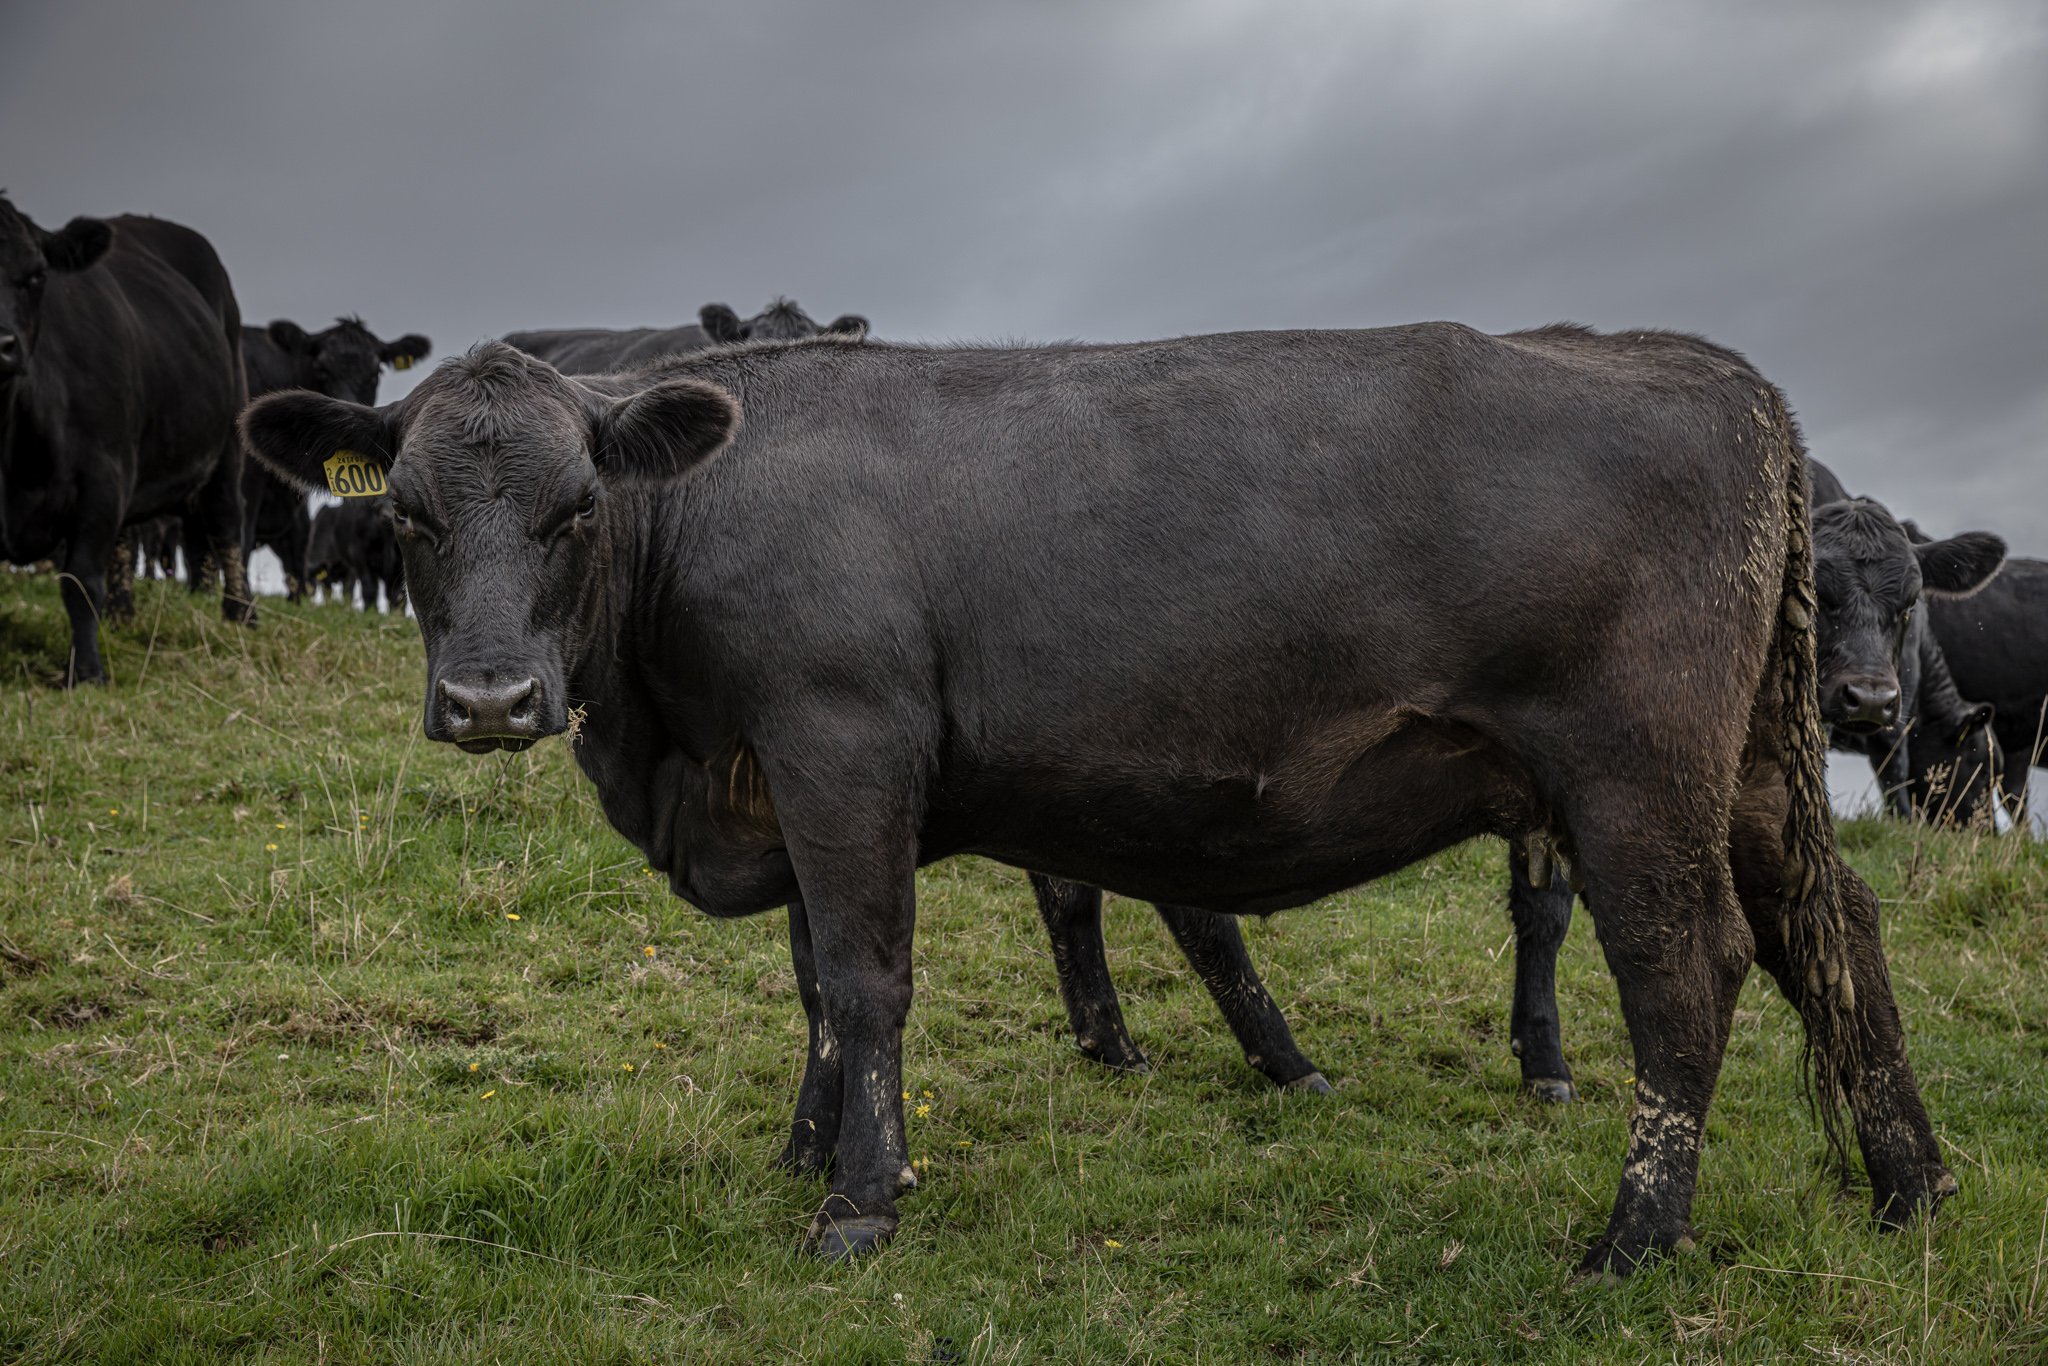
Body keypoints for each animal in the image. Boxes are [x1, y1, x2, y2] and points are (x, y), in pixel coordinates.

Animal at [0, 197, 252, 683]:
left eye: (37, 275)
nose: (0, 345)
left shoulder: (100, 478)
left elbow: (80, 580)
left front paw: (87, 672)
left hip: (227, 441)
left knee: (226, 522)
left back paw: (241, 615)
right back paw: (121, 617)